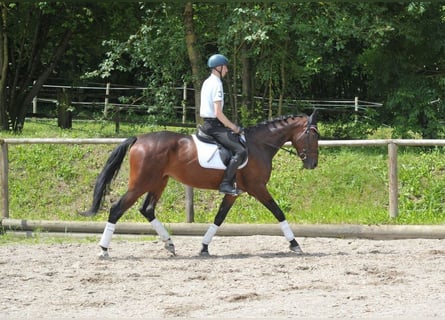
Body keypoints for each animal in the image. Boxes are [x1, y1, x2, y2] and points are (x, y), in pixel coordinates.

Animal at [82, 111, 320, 258]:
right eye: (313, 135)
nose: (313, 164)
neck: (258, 145)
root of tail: (139, 139)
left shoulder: (234, 192)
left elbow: (219, 218)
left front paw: (204, 247)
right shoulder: (257, 187)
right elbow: (278, 212)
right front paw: (295, 244)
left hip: (159, 182)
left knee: (147, 209)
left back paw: (169, 244)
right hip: (140, 184)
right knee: (117, 209)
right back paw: (103, 249)